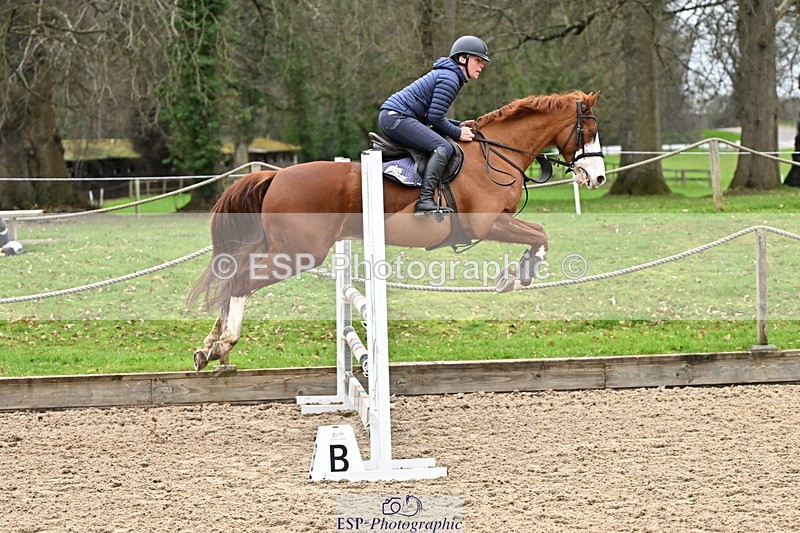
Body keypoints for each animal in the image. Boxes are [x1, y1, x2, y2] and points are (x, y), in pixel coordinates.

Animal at [188, 90, 606, 371]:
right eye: (590, 130)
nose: (598, 177)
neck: (496, 154)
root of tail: (275, 176)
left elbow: (539, 233)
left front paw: (517, 273)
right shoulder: (489, 223)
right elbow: (540, 234)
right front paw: (518, 275)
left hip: (280, 247)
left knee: (234, 273)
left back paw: (210, 346)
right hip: (298, 254)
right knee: (242, 280)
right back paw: (224, 344)